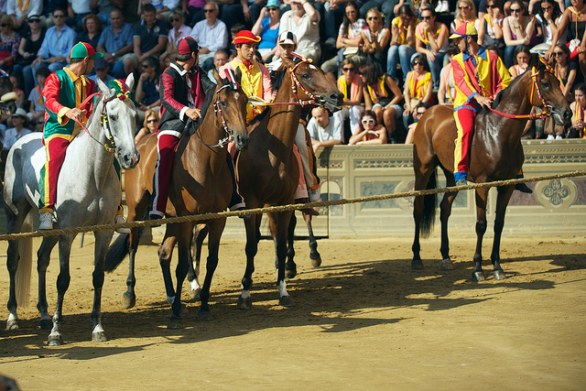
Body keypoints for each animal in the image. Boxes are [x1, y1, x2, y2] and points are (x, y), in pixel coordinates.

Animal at [3, 73, 139, 346]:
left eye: (134, 115)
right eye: (113, 116)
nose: (131, 158)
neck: (93, 171)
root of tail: (19, 142)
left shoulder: (103, 232)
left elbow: (98, 276)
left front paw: (97, 327)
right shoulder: (68, 233)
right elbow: (63, 279)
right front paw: (56, 333)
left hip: (52, 228)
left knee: (42, 259)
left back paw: (45, 314)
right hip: (16, 217)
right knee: (13, 260)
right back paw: (13, 316)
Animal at [105, 71, 246, 328]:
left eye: (245, 101)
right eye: (223, 103)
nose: (242, 139)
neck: (206, 161)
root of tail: (139, 144)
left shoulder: (216, 220)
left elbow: (211, 261)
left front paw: (203, 305)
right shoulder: (187, 220)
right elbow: (182, 265)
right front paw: (178, 310)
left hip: (171, 219)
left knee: (163, 253)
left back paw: (172, 296)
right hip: (137, 209)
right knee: (133, 246)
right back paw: (130, 293)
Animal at [234, 55, 340, 310]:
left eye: (320, 70)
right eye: (305, 75)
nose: (336, 96)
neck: (272, 150)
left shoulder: (281, 202)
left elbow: (281, 244)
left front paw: (283, 290)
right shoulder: (252, 203)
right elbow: (251, 246)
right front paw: (245, 292)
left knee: (298, 222)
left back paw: (304, 258)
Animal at [408, 55, 568, 282]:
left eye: (558, 82)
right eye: (545, 84)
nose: (567, 112)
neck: (498, 133)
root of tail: (428, 113)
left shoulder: (507, 186)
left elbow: (499, 223)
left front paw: (497, 266)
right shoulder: (482, 186)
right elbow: (481, 225)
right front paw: (477, 268)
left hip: (451, 176)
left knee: (445, 209)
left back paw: (446, 257)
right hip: (423, 170)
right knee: (418, 208)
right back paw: (416, 257)